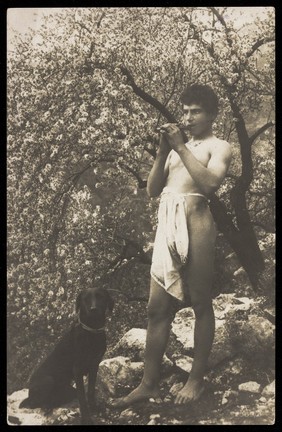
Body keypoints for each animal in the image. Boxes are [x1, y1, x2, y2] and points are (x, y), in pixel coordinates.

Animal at [19, 286, 114, 426]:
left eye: (100, 296)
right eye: (86, 299)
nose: (93, 309)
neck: (91, 332)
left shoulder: (94, 365)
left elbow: (91, 391)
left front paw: (94, 407)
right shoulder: (78, 369)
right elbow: (82, 397)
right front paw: (86, 418)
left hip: (68, 389)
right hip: (47, 380)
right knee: (35, 403)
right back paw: (47, 405)